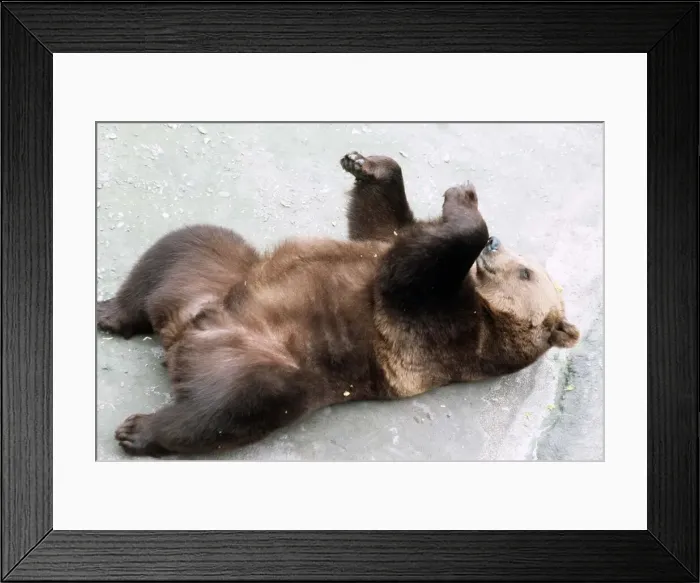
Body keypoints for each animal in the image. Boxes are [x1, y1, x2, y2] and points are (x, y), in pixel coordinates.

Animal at [97, 150, 580, 457]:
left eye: (526, 272)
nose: (495, 244)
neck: (485, 311)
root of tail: (182, 331)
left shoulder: (442, 330)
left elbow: (407, 275)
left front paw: (464, 201)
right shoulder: (392, 247)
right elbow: (382, 223)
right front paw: (368, 165)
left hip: (257, 356)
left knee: (242, 401)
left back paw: (139, 430)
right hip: (219, 270)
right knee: (185, 243)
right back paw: (109, 311)